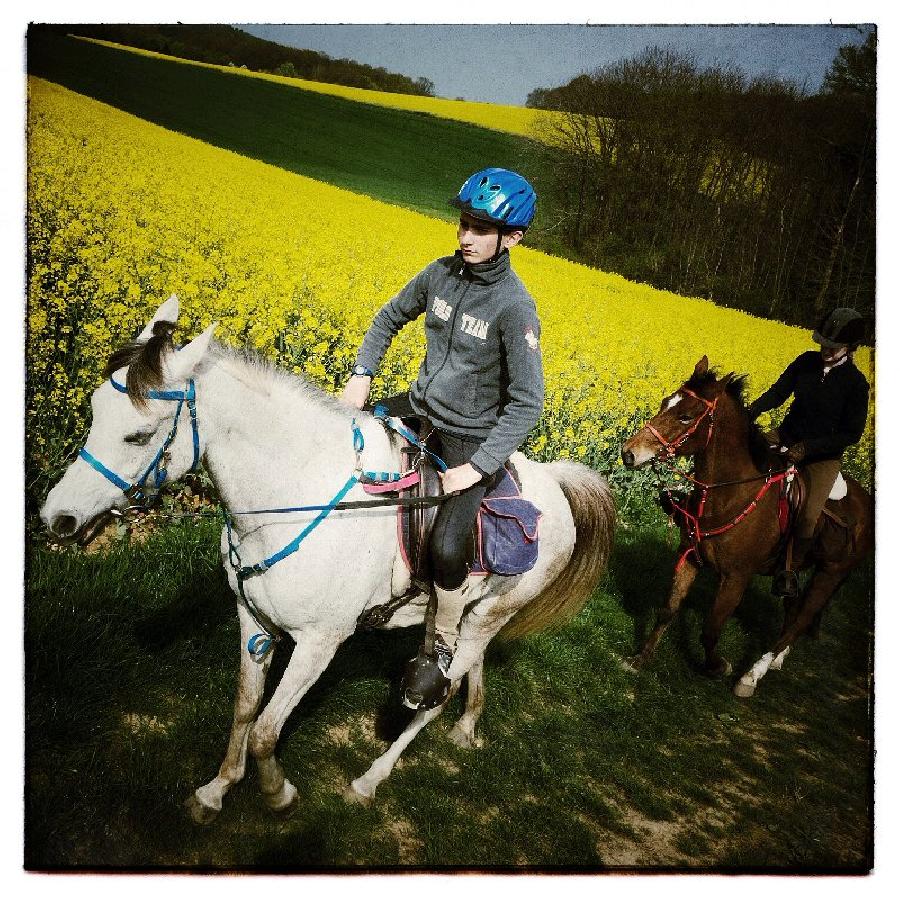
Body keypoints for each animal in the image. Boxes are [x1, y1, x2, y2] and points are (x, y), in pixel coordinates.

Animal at [44, 296, 620, 824]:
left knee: (439, 691)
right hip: (462, 613)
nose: (58, 518)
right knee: (460, 669)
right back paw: (465, 727)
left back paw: (370, 779)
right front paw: (215, 791)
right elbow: (244, 710)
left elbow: (266, 730)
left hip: (491, 614)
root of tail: (557, 482)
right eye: (93, 410)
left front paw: (277, 793)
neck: (293, 494)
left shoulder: (320, 642)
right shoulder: (253, 621)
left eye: (138, 435)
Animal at [620, 356, 872, 700]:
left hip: (831, 572)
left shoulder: (736, 577)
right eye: (664, 402)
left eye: (686, 416)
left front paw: (718, 667)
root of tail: (868, 500)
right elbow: (668, 609)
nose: (629, 453)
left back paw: (752, 675)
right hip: (797, 569)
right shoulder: (689, 557)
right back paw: (776, 660)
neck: (730, 493)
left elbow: (711, 629)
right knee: (794, 610)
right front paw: (639, 659)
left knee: (801, 619)